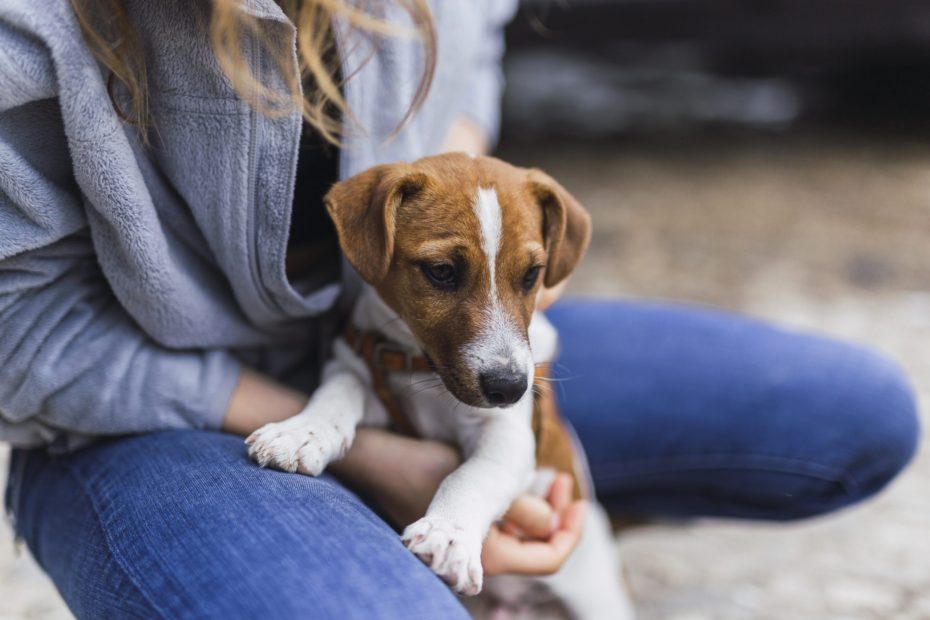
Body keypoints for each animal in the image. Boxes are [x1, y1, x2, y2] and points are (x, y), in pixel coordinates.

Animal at [246, 151, 636, 620]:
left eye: (532, 276)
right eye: (441, 272)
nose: (509, 388)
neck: (422, 371)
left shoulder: (509, 434)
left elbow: (473, 475)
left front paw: (448, 534)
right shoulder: (361, 368)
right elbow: (338, 392)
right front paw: (301, 433)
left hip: (596, 594)